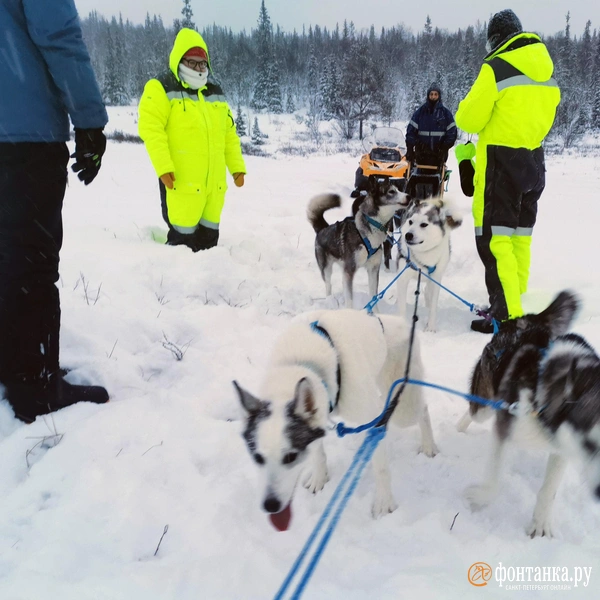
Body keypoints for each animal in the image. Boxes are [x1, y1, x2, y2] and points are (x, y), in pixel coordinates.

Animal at [233, 310, 436, 528]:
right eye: (257, 458)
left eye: (290, 457)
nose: (270, 505)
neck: (301, 360)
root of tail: (400, 321)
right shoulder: (320, 415)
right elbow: (318, 454)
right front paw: (319, 478)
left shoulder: (373, 420)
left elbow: (380, 468)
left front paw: (384, 502)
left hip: (404, 408)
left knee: (423, 410)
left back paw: (429, 445)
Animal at [308, 176, 410, 310]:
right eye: (391, 191)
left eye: (398, 189)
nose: (409, 196)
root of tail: (323, 228)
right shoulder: (349, 270)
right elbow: (349, 299)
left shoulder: (373, 269)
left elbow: (373, 295)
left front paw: (374, 312)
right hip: (326, 268)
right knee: (328, 285)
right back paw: (330, 302)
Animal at [396, 200, 462, 332]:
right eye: (410, 222)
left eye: (424, 224)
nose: (408, 235)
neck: (423, 255)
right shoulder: (403, 276)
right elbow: (402, 305)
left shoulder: (436, 278)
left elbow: (433, 305)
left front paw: (430, 328)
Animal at [460, 290, 600, 536]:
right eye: (591, 444)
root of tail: (527, 319)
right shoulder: (504, 428)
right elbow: (494, 480)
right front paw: (477, 497)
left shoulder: (561, 447)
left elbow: (548, 491)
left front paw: (540, 525)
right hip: (486, 405)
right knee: (475, 407)